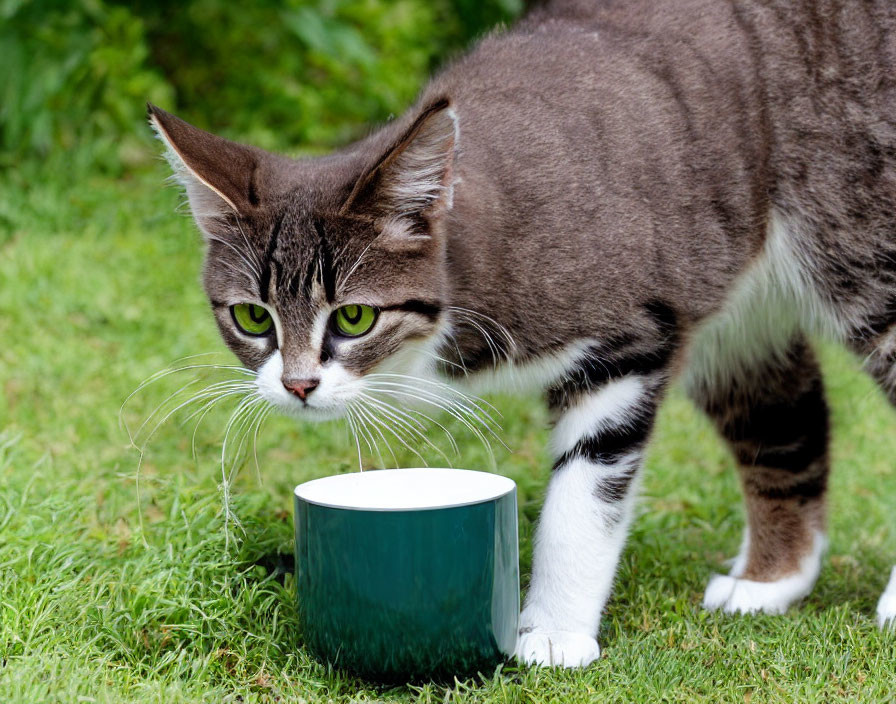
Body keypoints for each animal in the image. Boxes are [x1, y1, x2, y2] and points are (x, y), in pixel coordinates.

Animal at [150, 0, 896, 668]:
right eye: (253, 317)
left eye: (354, 317)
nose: (298, 385)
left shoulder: (626, 339)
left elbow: (583, 495)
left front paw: (555, 632)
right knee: (784, 417)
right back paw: (770, 581)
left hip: (859, 246)